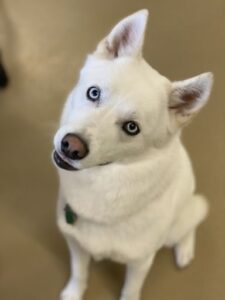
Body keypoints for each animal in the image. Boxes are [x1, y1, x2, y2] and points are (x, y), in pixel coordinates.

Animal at [52, 9, 213, 300]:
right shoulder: (75, 244)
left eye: (131, 127)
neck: (103, 185)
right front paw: (73, 293)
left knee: (189, 225)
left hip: (180, 221)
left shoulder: (140, 262)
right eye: (94, 92)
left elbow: (131, 290)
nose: (71, 146)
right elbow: (79, 273)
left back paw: (185, 251)